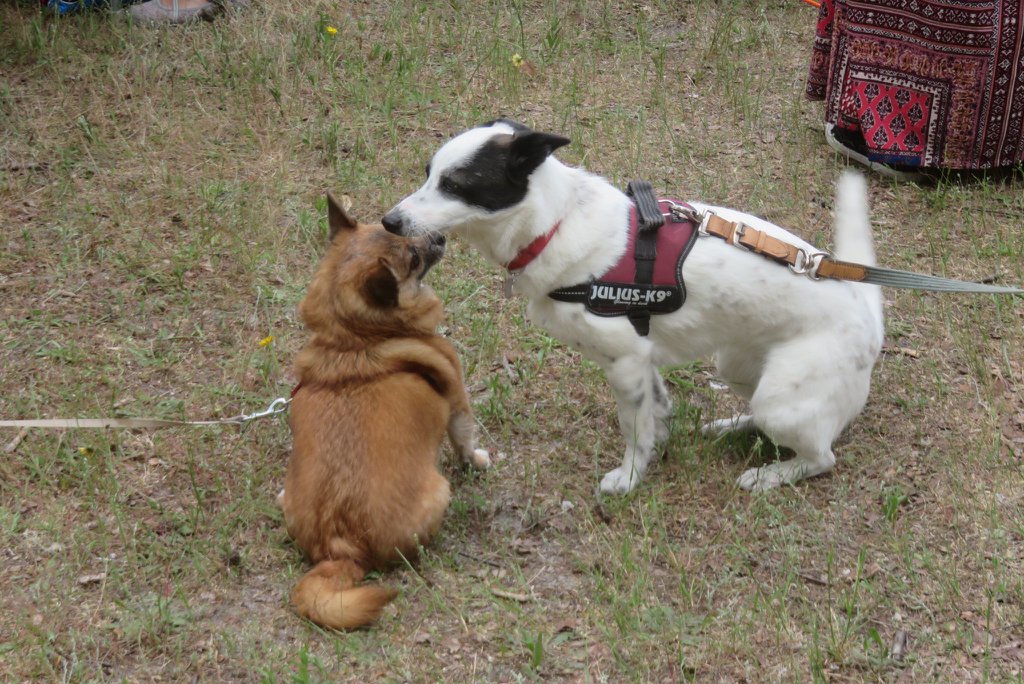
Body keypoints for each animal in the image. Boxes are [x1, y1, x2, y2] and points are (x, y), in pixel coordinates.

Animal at [278, 196, 489, 630]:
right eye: (413, 257)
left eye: (388, 226)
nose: (440, 237)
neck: (354, 340)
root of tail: (341, 548)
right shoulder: (458, 398)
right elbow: (464, 438)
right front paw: (476, 461)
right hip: (439, 492)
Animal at [380, 117, 884, 491]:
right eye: (428, 173)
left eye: (455, 184)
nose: (389, 221)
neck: (556, 223)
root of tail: (866, 307)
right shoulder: (642, 359)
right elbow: (655, 412)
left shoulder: (623, 362)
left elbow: (634, 429)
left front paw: (629, 477)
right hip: (740, 368)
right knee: (762, 416)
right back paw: (732, 425)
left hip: (782, 400)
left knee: (822, 456)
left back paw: (771, 474)